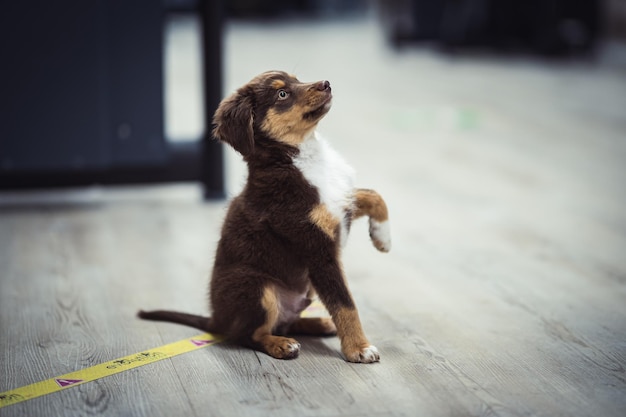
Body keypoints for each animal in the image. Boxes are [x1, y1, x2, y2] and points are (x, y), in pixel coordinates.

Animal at [139, 70, 388, 360]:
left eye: (296, 80)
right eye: (282, 94)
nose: (326, 83)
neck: (300, 157)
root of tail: (217, 320)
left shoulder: (339, 203)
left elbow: (372, 195)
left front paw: (383, 238)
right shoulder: (316, 249)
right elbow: (344, 303)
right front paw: (359, 348)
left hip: (301, 291)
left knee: (284, 322)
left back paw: (318, 323)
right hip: (257, 287)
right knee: (248, 334)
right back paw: (281, 344)